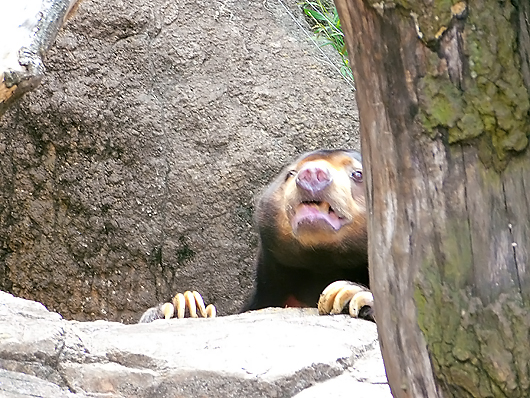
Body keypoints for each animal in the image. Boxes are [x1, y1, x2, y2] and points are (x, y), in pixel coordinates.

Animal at [138, 149, 374, 324]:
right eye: (290, 174)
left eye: (358, 174)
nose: (312, 173)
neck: (319, 267)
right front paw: (182, 306)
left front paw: (349, 293)